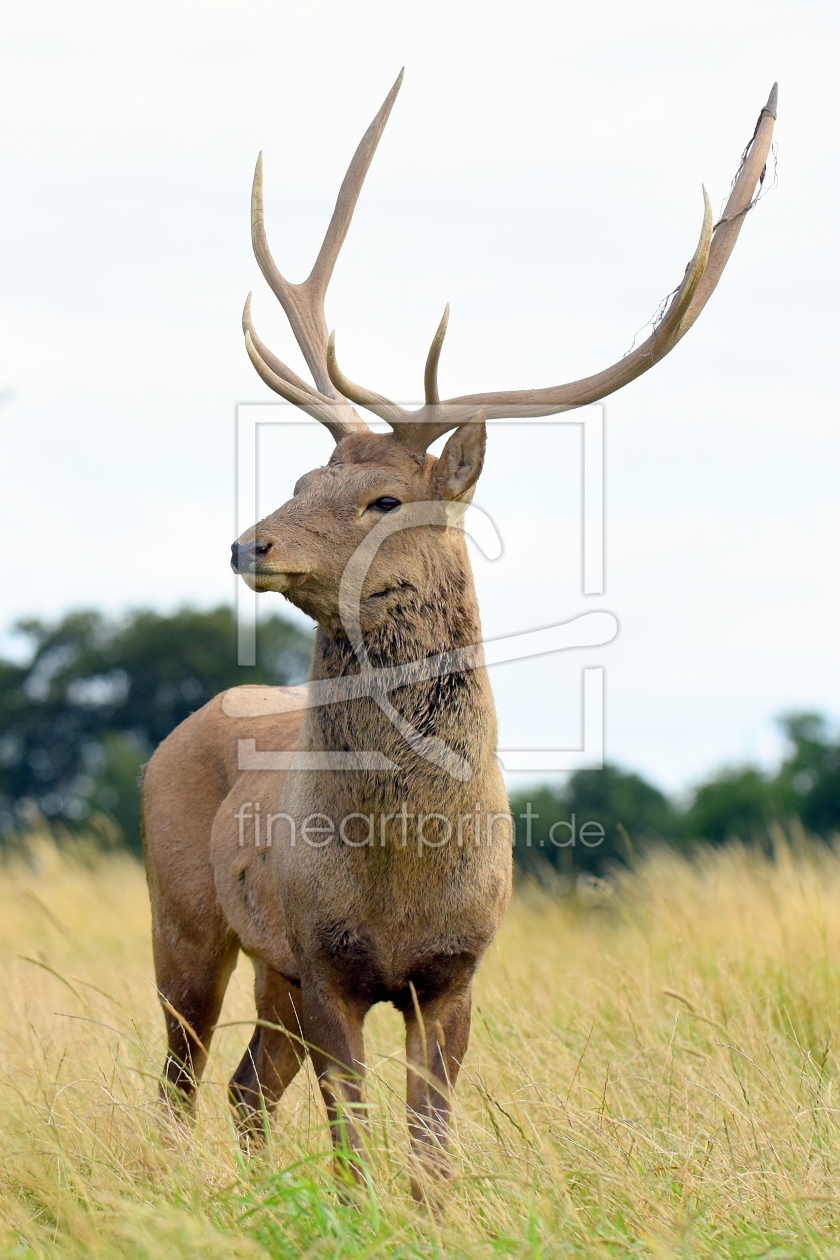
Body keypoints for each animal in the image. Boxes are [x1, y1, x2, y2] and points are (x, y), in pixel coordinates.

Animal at [141, 71, 780, 1199]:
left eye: (385, 497)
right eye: (303, 476)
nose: (249, 543)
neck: (402, 881)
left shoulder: (454, 973)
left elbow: (431, 1159)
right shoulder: (328, 958)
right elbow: (355, 1155)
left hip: (268, 970)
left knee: (246, 1091)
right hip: (187, 922)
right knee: (177, 1086)